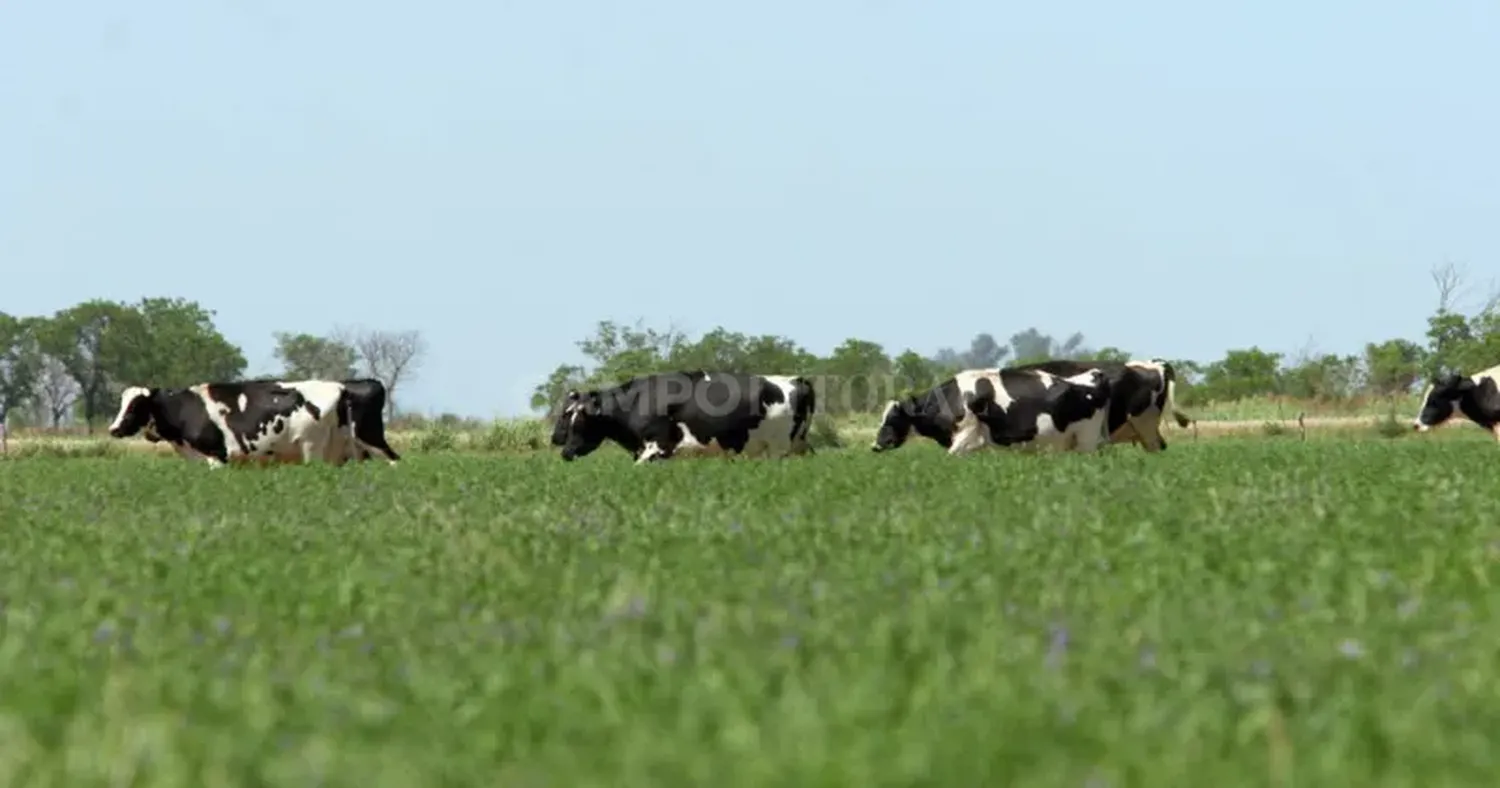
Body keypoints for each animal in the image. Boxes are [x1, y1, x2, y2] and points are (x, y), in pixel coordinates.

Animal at [105, 376, 399, 465]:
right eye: (121, 402)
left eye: (136, 405)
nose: (113, 429)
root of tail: (349, 384)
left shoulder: (217, 457)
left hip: (321, 448)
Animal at [552, 369, 816, 462]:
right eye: (566, 416)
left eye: (581, 419)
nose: (565, 452)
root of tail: (796, 379)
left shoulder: (657, 447)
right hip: (798, 445)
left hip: (779, 447)